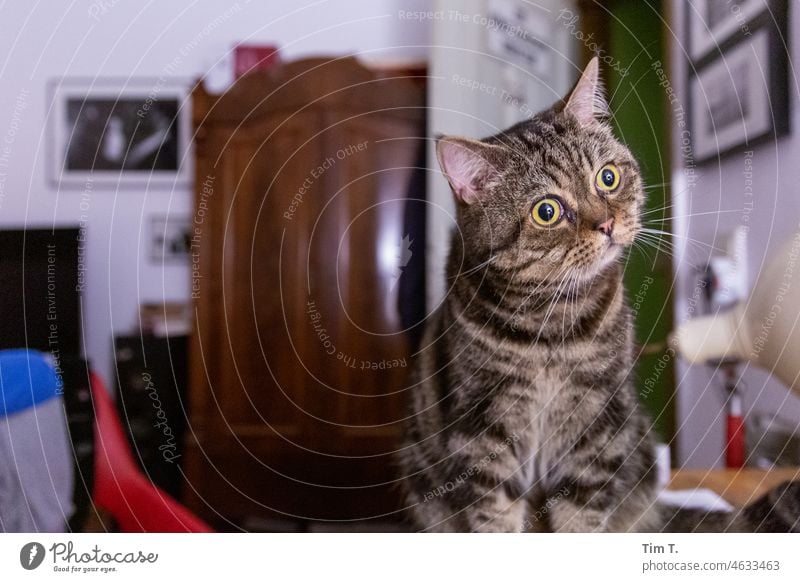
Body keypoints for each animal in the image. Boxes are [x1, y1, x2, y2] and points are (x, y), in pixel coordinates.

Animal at [400, 58, 800, 532]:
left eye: (607, 178)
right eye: (547, 211)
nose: (606, 224)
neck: (551, 321)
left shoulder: (599, 418)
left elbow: (582, 514)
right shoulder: (480, 425)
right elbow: (493, 516)